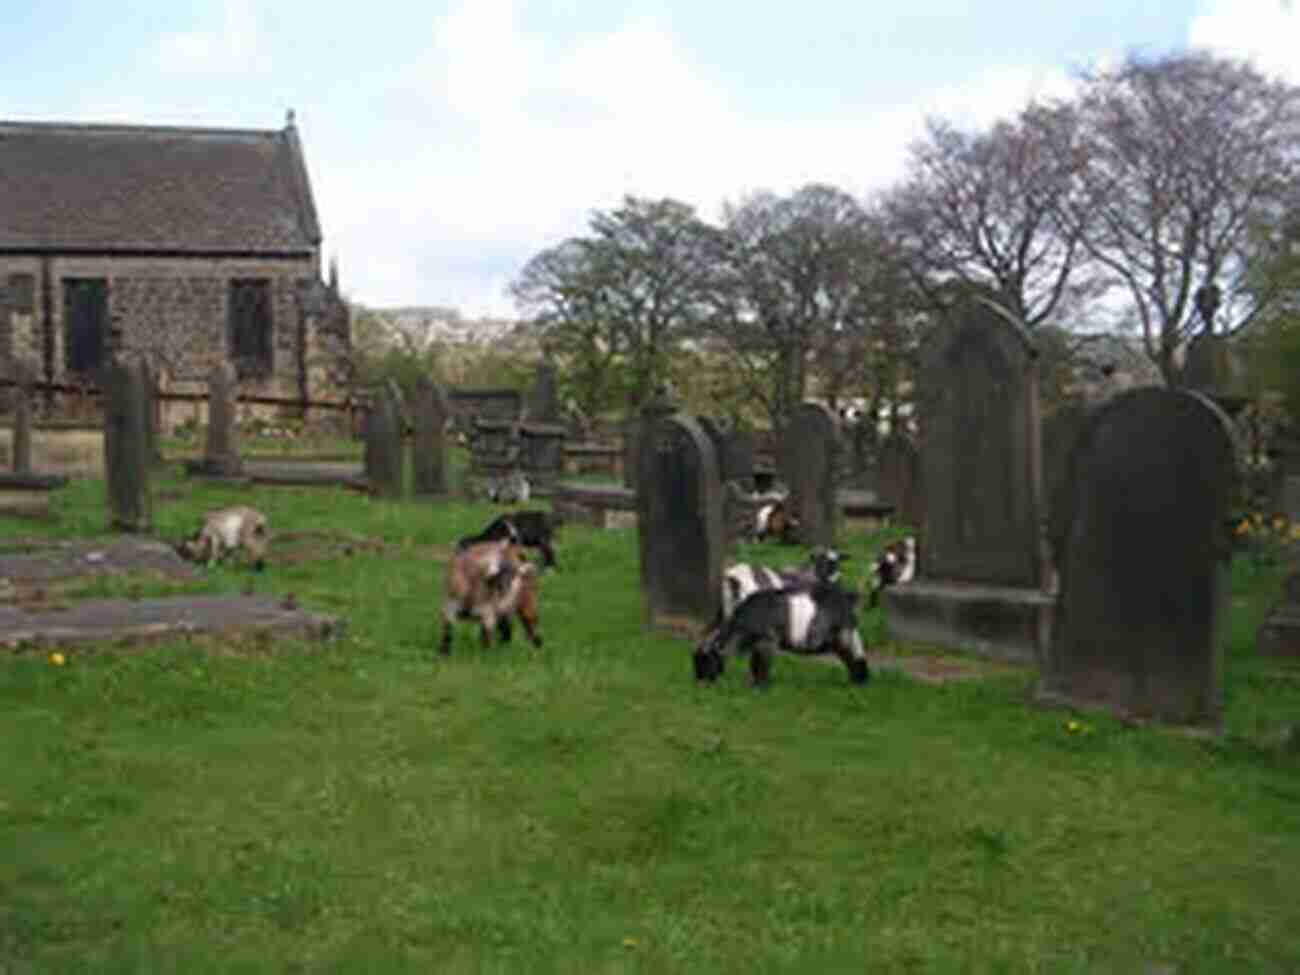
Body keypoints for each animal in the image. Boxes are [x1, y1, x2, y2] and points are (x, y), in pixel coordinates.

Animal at [696, 585, 868, 691]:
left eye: (707, 660)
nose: (700, 682)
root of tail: (848, 602)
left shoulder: (767, 641)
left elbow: (762, 665)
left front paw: (761, 687)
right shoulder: (758, 644)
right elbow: (754, 663)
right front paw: (754, 684)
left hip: (843, 637)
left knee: (854, 657)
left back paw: (858, 682)